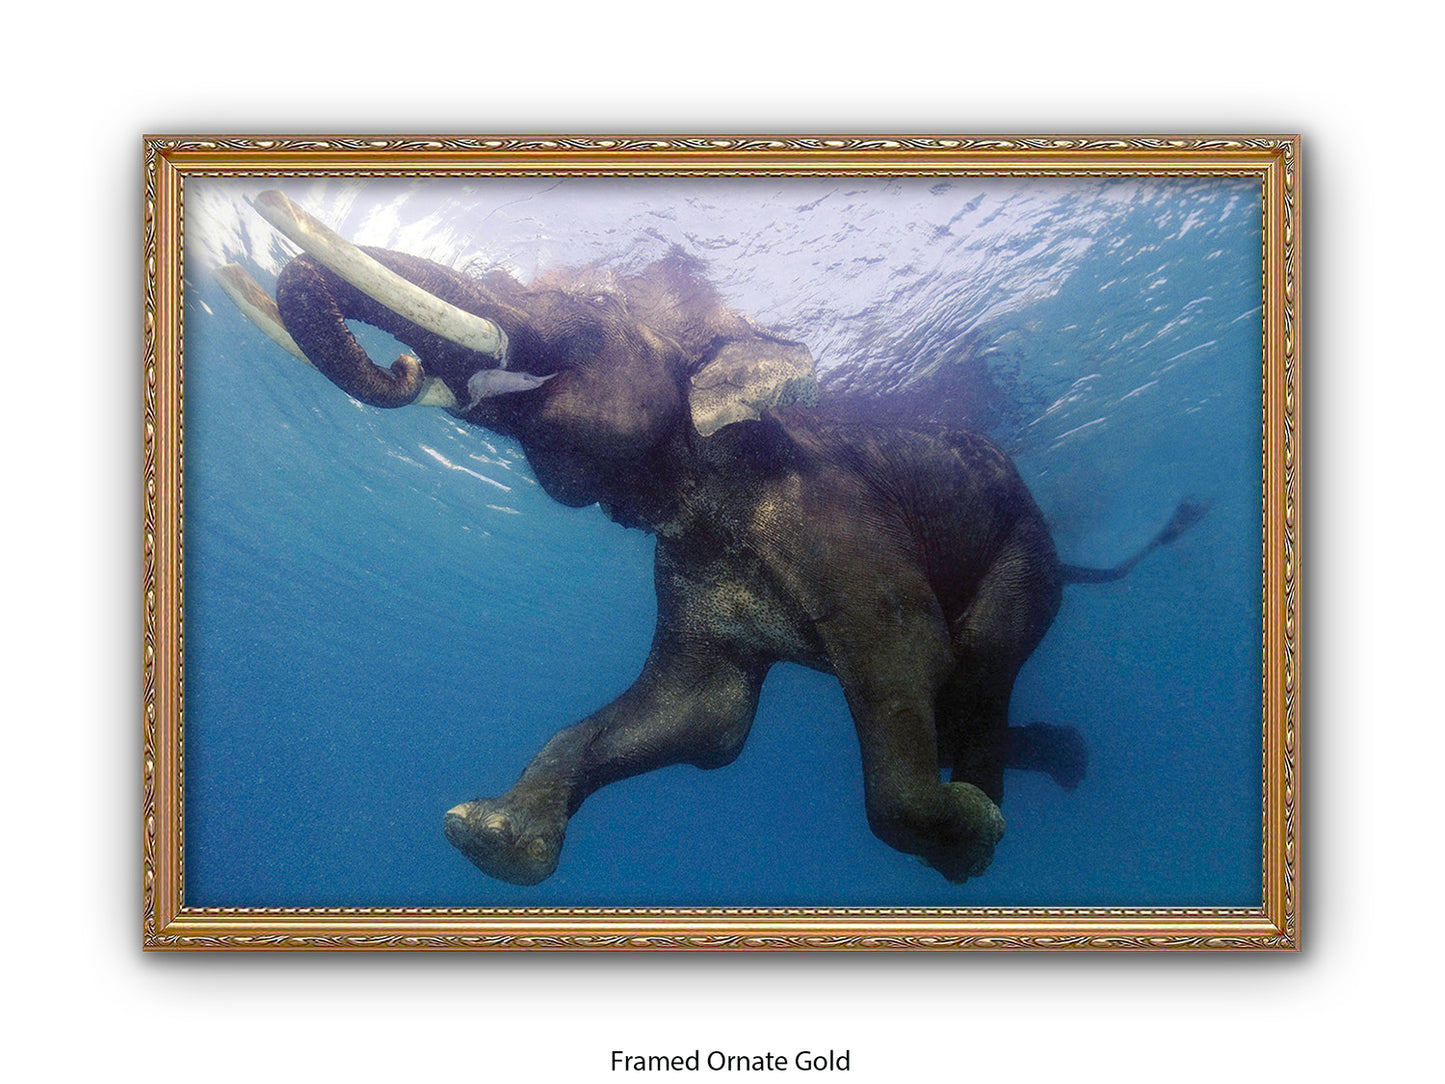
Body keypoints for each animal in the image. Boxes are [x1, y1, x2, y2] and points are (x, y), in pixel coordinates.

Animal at [224, 191, 1204, 886]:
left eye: (589, 306)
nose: (403, 363)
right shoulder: (685, 568)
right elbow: (702, 715)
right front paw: (484, 836)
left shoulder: (838, 519)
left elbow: (907, 653)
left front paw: (964, 835)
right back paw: (1049, 765)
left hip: (1023, 552)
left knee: (977, 661)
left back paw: (988, 821)